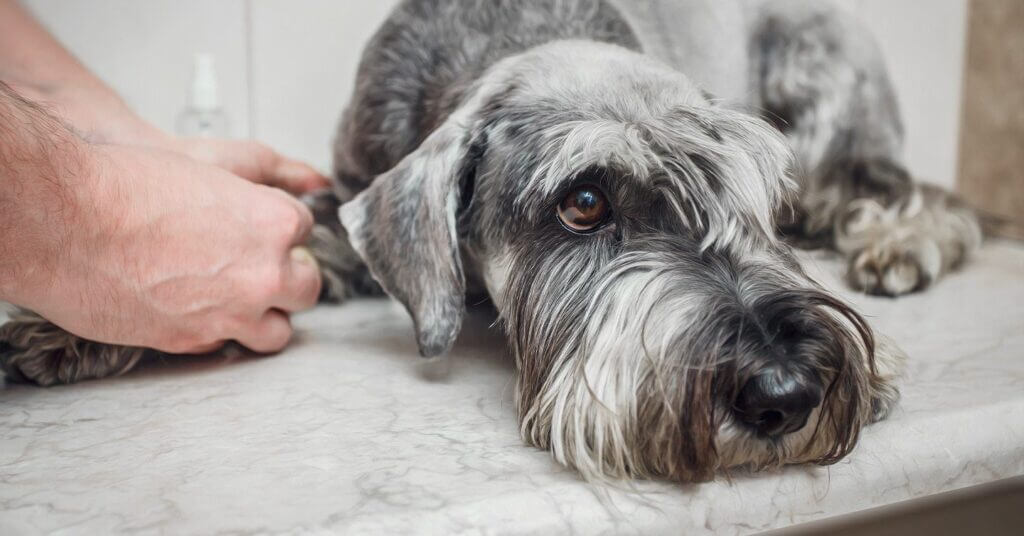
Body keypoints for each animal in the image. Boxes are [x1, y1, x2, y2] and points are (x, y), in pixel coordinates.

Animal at [0, 0, 978, 483]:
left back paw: (903, 242)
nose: (785, 391)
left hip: (822, 89)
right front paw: (64, 328)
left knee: (906, 189)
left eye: (753, 195)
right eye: (584, 202)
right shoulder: (342, 191)